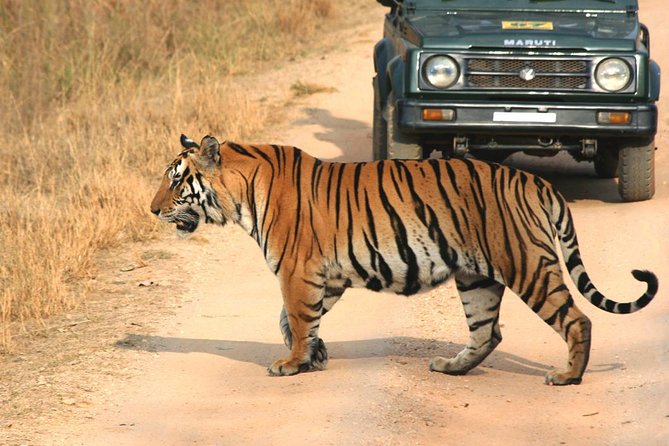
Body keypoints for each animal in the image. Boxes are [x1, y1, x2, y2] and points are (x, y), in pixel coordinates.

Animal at [150, 134, 656, 386]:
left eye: (176, 181)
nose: (152, 210)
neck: (241, 194)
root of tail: (537, 182)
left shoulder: (298, 271)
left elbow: (294, 318)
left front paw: (291, 364)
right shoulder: (326, 277)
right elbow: (295, 321)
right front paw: (315, 356)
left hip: (526, 264)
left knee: (576, 319)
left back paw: (568, 376)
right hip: (476, 278)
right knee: (488, 331)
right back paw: (452, 368)